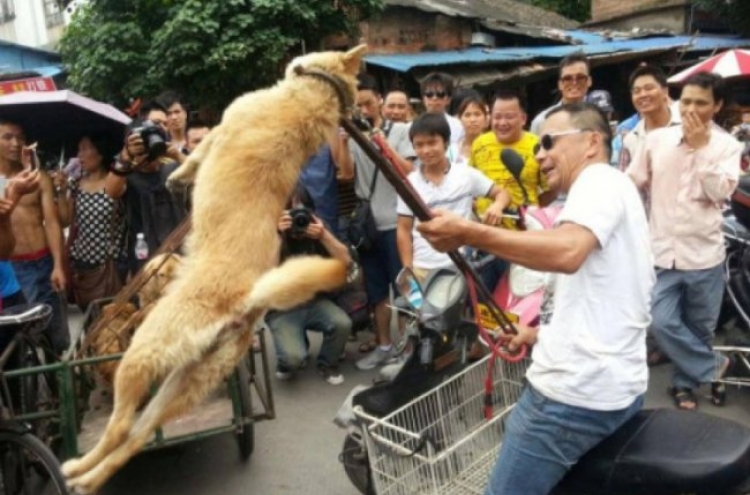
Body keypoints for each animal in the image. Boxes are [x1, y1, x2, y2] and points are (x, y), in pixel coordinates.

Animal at [63, 44, 368, 494]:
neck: (309, 99)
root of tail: (246, 301)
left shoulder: (216, 132)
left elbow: (185, 155)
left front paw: (173, 171)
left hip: (144, 354)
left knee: (121, 428)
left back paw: (77, 471)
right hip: (184, 384)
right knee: (135, 437)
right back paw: (82, 474)